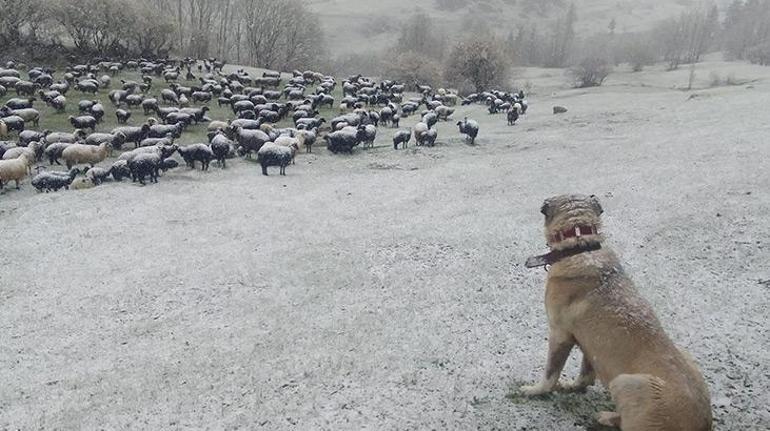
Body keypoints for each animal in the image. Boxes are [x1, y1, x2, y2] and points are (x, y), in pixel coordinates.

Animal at [520, 196, 712, 431]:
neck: (580, 246)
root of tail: (703, 424)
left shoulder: (560, 334)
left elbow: (550, 374)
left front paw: (534, 391)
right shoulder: (589, 344)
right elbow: (585, 375)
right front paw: (573, 386)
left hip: (626, 383)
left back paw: (606, 417)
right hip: (682, 355)